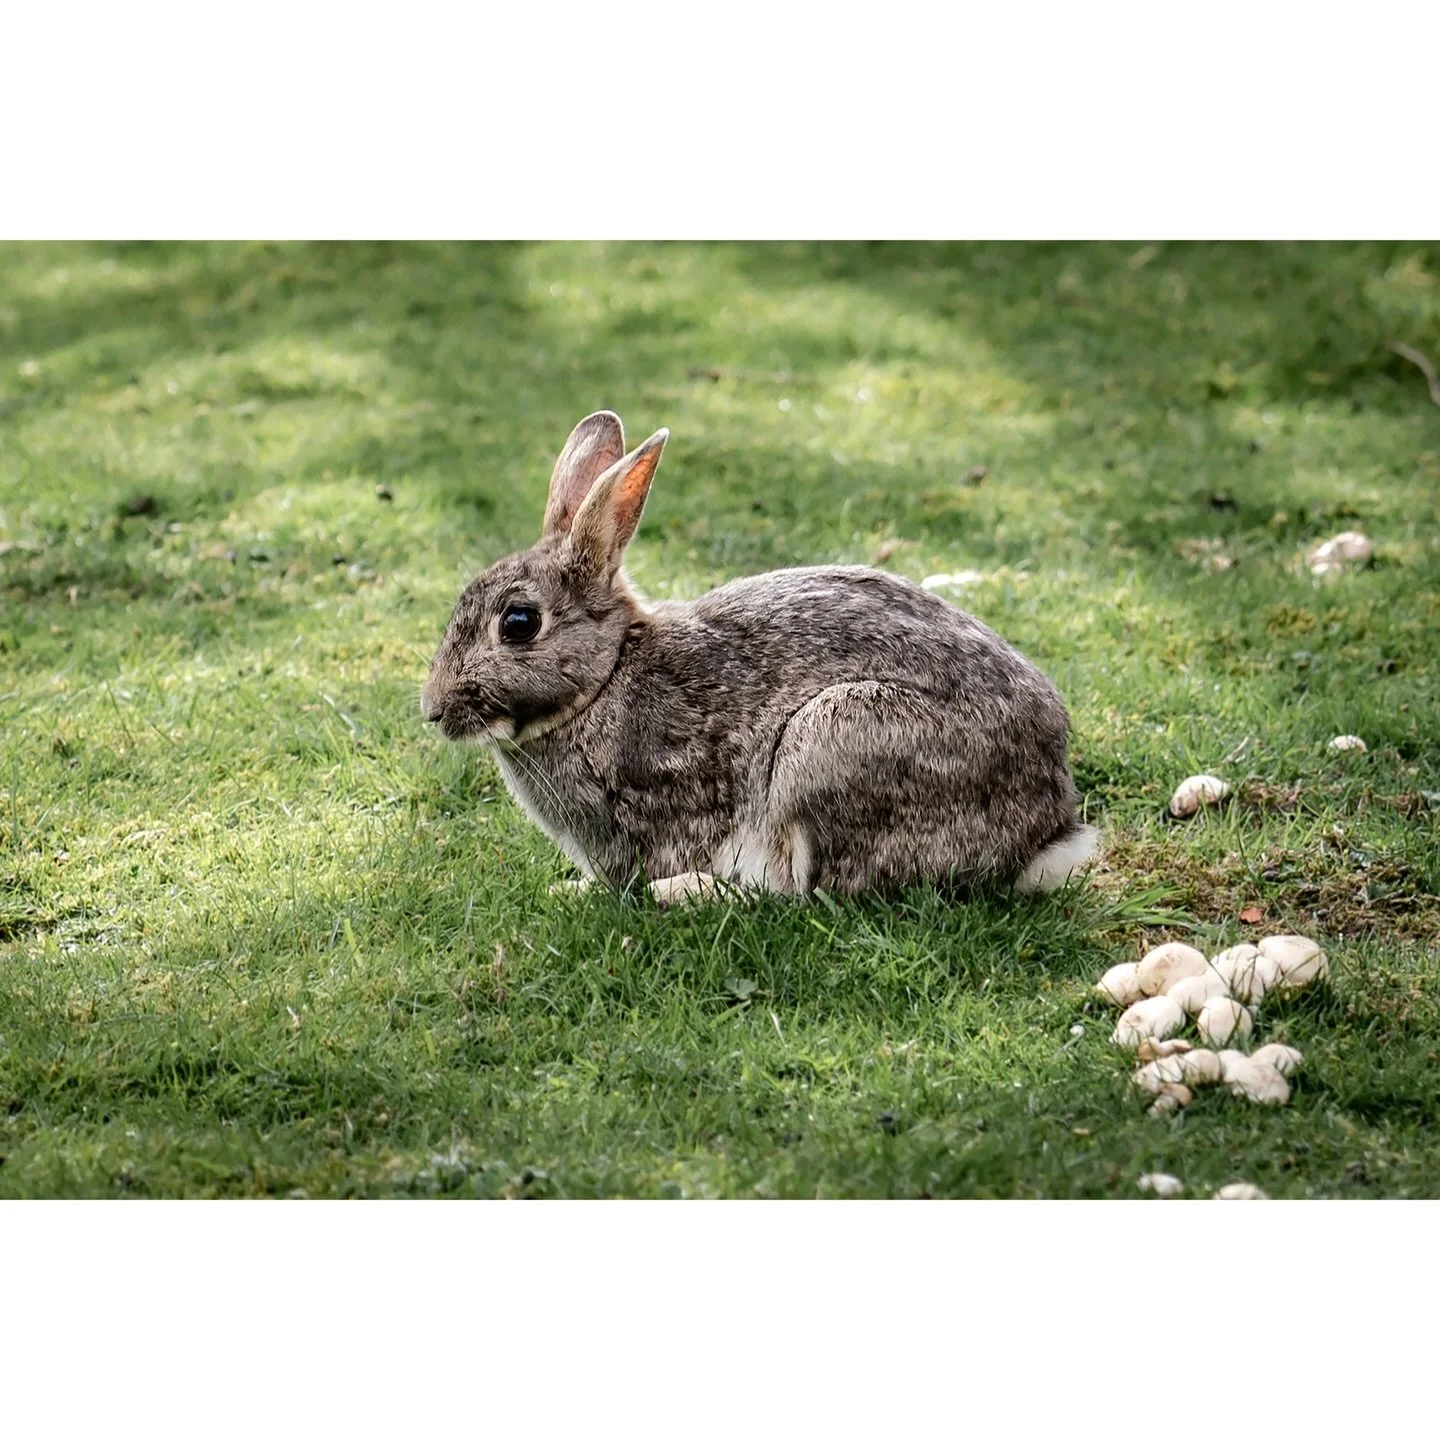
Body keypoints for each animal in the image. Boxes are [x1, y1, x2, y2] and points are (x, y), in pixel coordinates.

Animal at [422, 410, 1097, 903]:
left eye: (518, 623)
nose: (433, 711)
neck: (604, 678)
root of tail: (1048, 828)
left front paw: (581, 893)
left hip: (828, 741)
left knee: (808, 893)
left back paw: (688, 893)